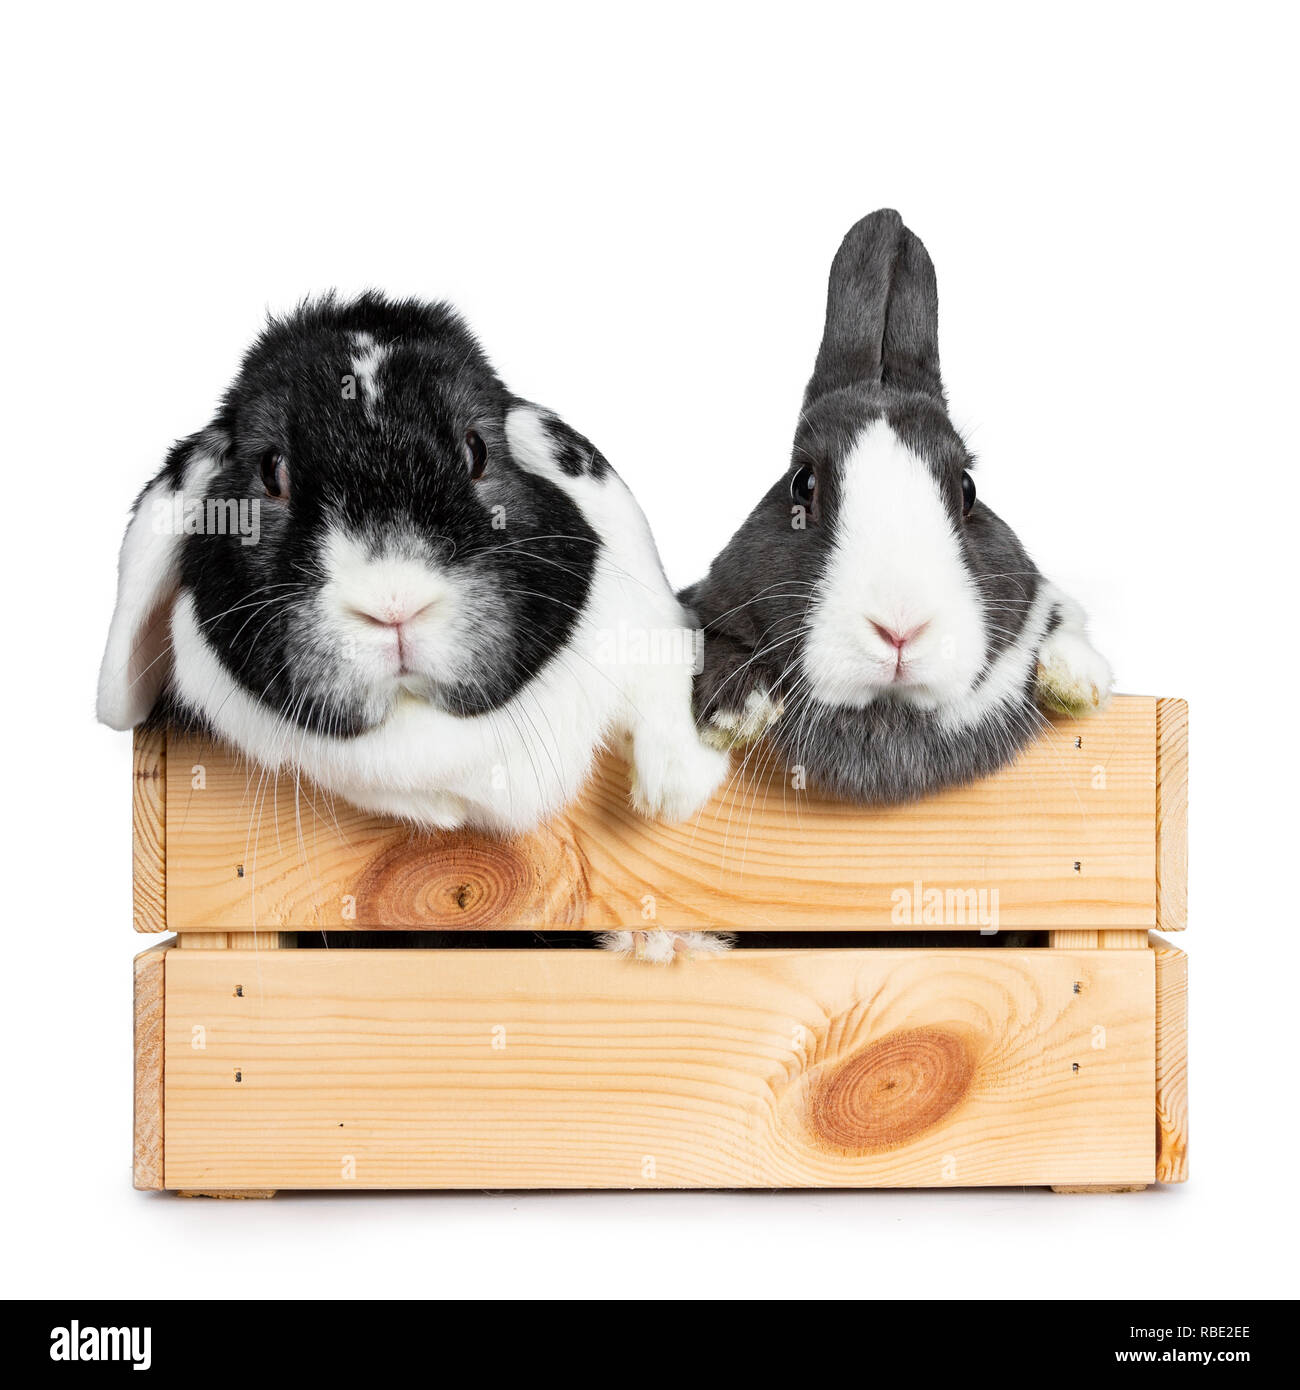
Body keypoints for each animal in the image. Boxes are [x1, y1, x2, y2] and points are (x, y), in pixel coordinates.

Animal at [680, 208, 1113, 808]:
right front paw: (734, 712)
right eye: (803, 483)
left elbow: (1059, 616)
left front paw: (1078, 680)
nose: (901, 629)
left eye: (967, 488)